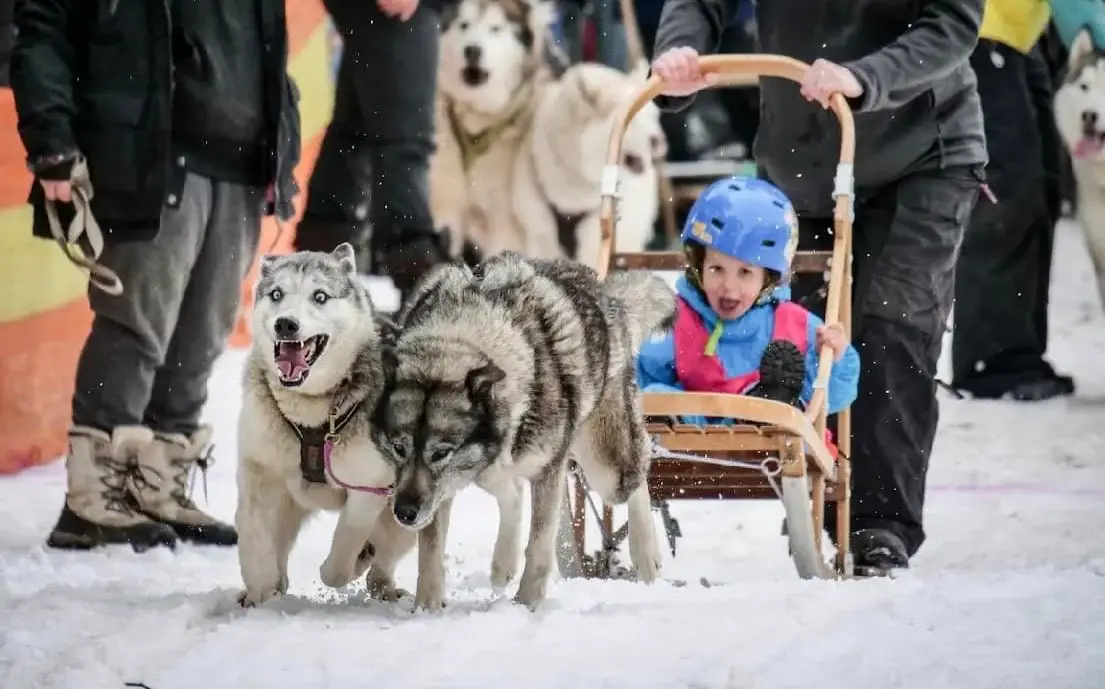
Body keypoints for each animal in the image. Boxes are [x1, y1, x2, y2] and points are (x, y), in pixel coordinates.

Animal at [236, 245, 415, 605]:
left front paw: (350, 561)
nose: (285, 324)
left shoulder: (369, 487)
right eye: (277, 294)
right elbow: (252, 535)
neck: (310, 412)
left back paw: (381, 580)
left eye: (320, 296)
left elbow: (343, 552)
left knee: (383, 558)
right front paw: (260, 590)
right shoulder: (259, 471)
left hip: (406, 517)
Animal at [371, 253, 671, 609]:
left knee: (638, 476)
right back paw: (503, 565)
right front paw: (426, 608)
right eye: (398, 447)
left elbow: (539, 544)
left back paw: (646, 554)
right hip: (497, 469)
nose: (404, 512)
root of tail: (603, 292)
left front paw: (528, 603)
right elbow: (430, 551)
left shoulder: (547, 471)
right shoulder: (442, 489)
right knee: (510, 493)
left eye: (441, 452)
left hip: (607, 469)